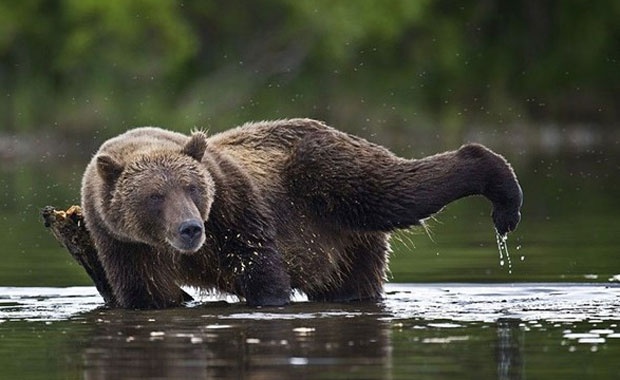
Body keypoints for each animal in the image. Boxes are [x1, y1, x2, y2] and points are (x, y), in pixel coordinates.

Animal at [80, 118, 520, 308]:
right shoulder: (121, 243)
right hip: (345, 244)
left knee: (400, 191)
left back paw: (501, 194)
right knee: (354, 277)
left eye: (193, 187)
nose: (190, 228)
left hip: (330, 178)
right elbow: (148, 293)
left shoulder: (233, 206)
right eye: (155, 196)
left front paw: (271, 298)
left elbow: (259, 262)